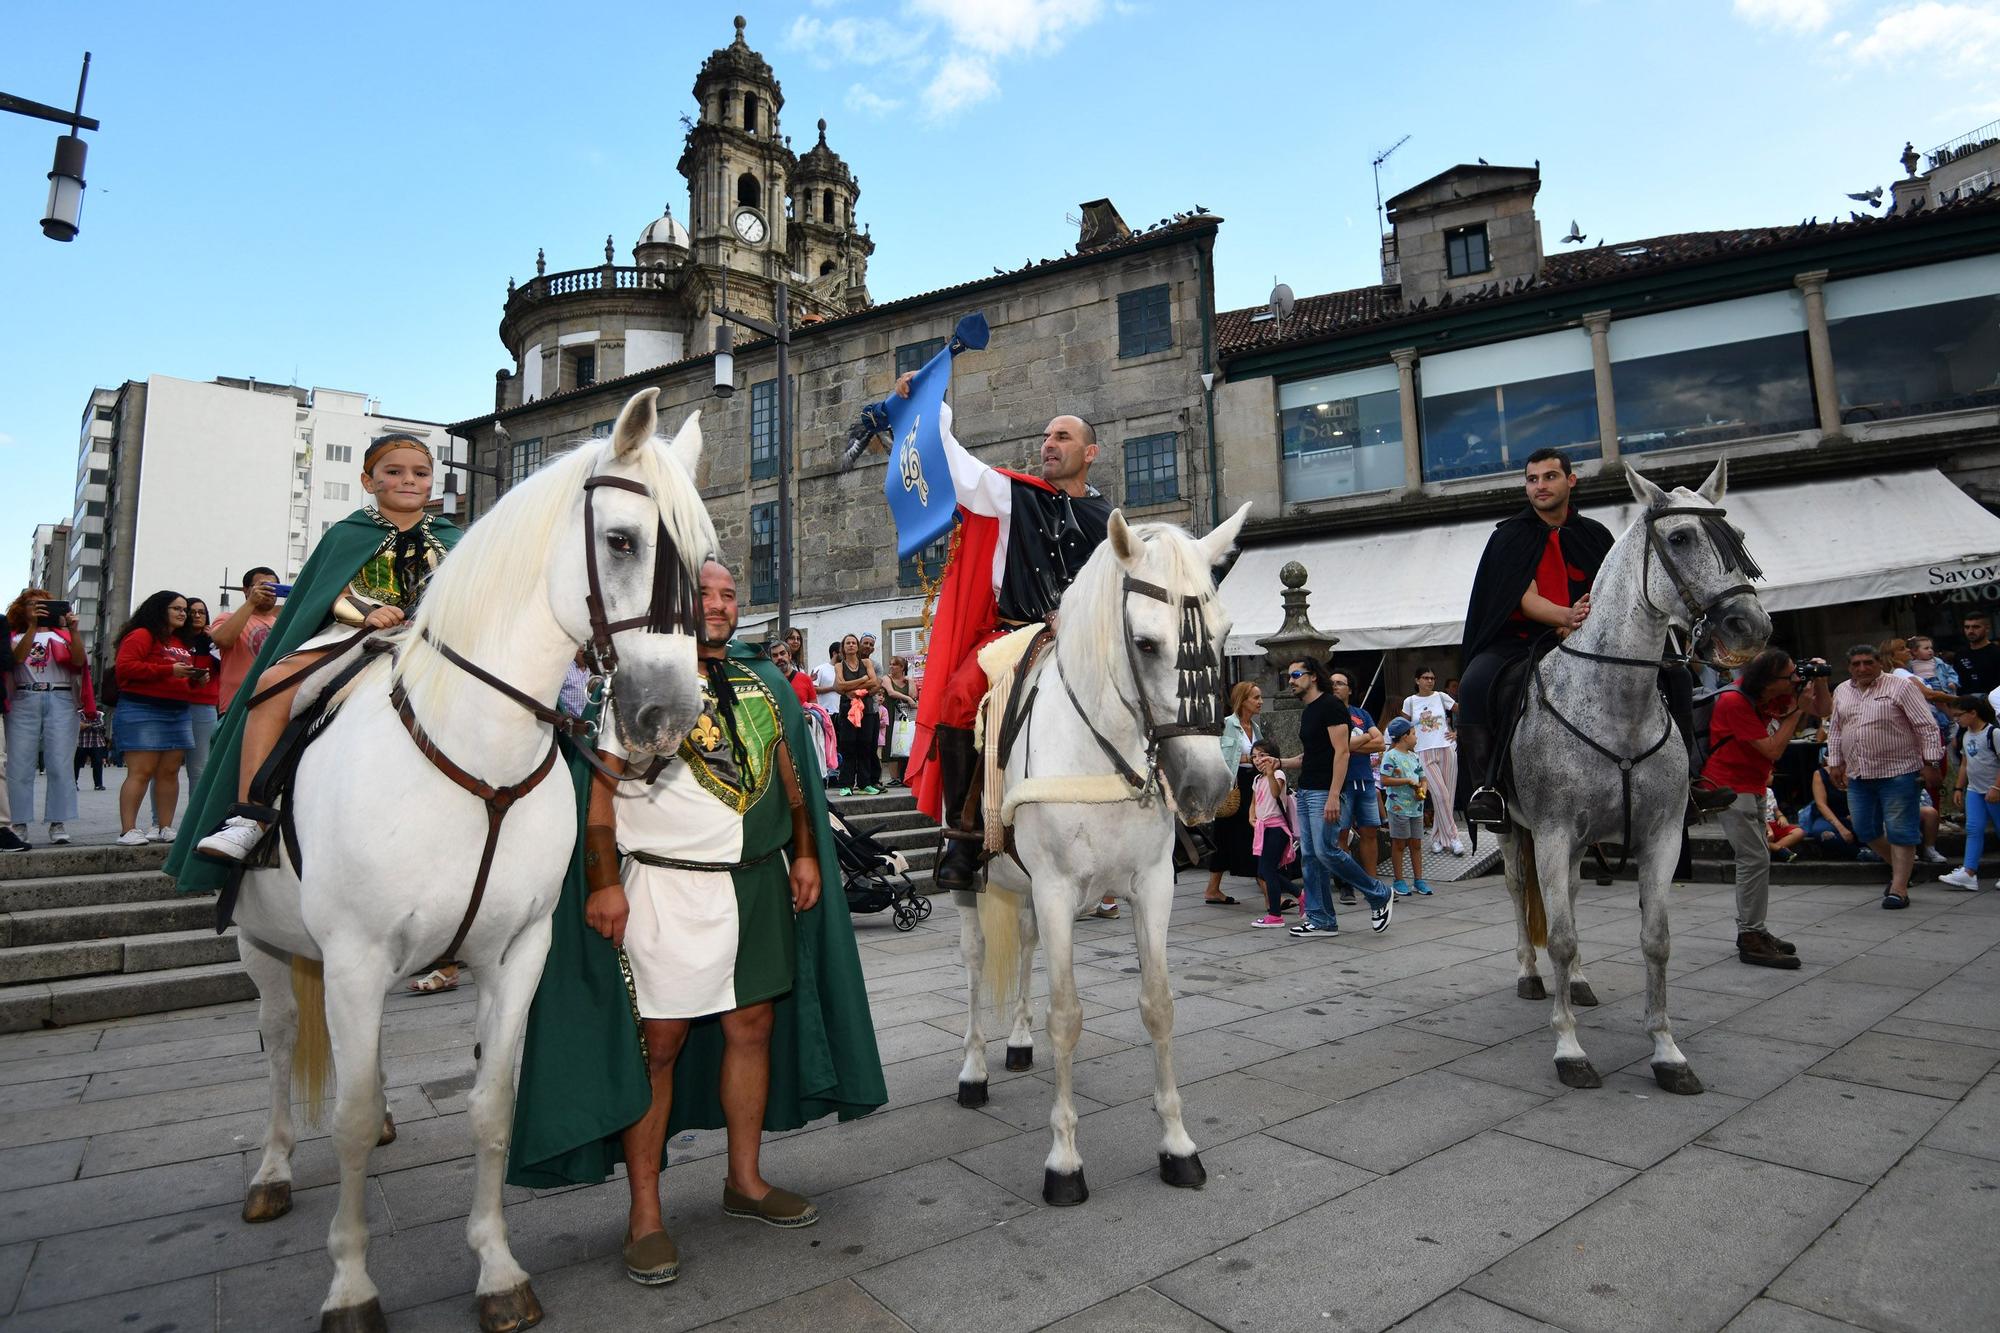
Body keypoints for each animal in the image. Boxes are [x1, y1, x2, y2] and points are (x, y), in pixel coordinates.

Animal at [230, 386, 716, 1328]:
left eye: (705, 555)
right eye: (623, 541)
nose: (668, 717)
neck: (474, 748)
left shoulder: (516, 950)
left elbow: (492, 1105)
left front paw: (496, 1269)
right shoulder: (355, 954)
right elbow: (344, 1121)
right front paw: (351, 1286)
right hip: (259, 940)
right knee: (276, 1041)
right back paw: (271, 1169)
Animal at [960, 500, 1240, 1200]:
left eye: (1224, 635)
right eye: (1145, 643)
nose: (1208, 787)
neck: (1101, 750)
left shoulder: (1152, 885)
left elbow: (1158, 1006)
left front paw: (1177, 1146)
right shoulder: (1058, 889)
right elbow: (1066, 1014)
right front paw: (1064, 1160)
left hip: (1025, 891)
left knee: (1023, 945)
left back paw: (1017, 1042)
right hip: (969, 884)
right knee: (975, 964)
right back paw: (974, 1069)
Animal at [1504, 462, 1768, 1096]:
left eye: (1738, 536)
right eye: (1681, 537)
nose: (1750, 627)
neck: (1618, 703)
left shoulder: (1662, 835)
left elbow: (1656, 941)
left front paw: (1667, 1052)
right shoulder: (1551, 832)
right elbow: (1562, 936)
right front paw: (1569, 1049)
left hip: (1578, 844)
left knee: (1571, 895)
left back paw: (1576, 982)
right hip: (1511, 830)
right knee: (1520, 892)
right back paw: (1529, 973)